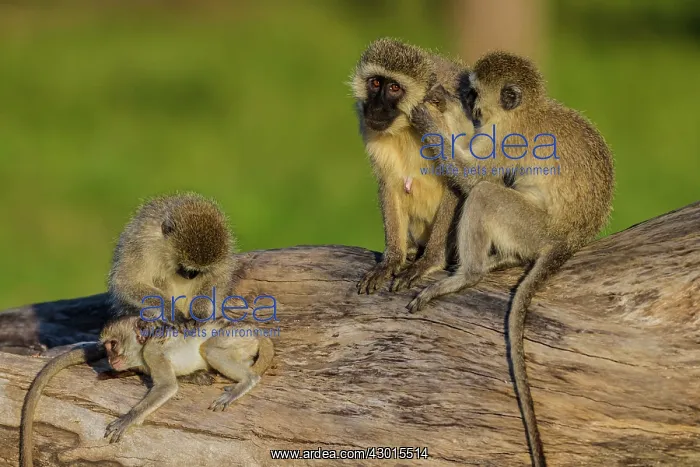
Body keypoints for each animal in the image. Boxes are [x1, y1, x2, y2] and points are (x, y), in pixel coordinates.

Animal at [20, 316, 274, 467]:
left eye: (113, 345)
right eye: (107, 348)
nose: (110, 359)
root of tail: (254, 330)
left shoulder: (152, 351)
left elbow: (167, 386)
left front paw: (128, 418)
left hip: (234, 337)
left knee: (210, 348)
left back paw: (246, 380)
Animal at [109, 192, 238, 323]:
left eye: (199, 270)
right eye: (184, 266)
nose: (190, 276)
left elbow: (218, 276)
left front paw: (199, 310)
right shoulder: (140, 247)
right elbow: (127, 283)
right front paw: (171, 311)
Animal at [350, 38, 473, 295]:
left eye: (394, 88)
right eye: (375, 83)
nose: (375, 108)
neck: (405, 127)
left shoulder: (440, 118)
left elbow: (458, 181)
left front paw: (429, 261)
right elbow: (389, 184)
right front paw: (392, 259)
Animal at [406, 52, 615, 467]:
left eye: (474, 93)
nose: (468, 105)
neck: (526, 112)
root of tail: (567, 240)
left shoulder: (506, 139)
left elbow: (475, 177)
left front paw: (430, 121)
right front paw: (444, 106)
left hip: (531, 227)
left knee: (486, 193)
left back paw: (468, 274)